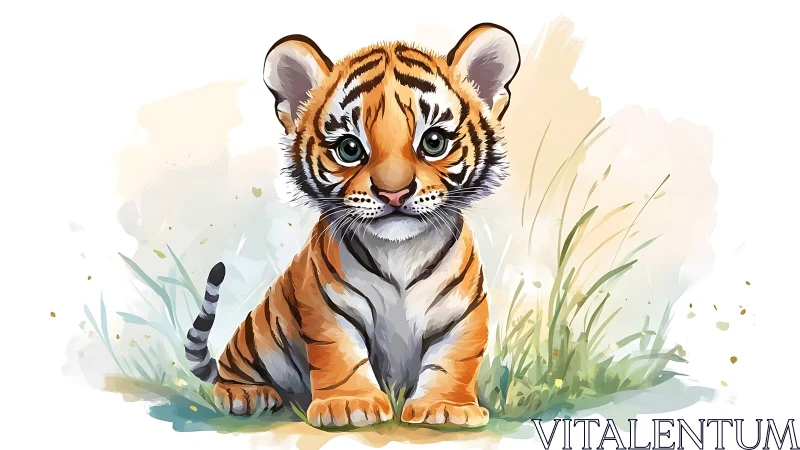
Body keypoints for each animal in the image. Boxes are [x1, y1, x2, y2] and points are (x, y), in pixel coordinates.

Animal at [184, 23, 520, 428]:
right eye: (349, 149)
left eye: (434, 142)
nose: (394, 193)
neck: (400, 251)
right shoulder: (327, 306)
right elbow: (340, 353)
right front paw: (349, 405)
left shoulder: (463, 312)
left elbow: (454, 360)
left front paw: (446, 407)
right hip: (259, 338)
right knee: (231, 371)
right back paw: (246, 395)